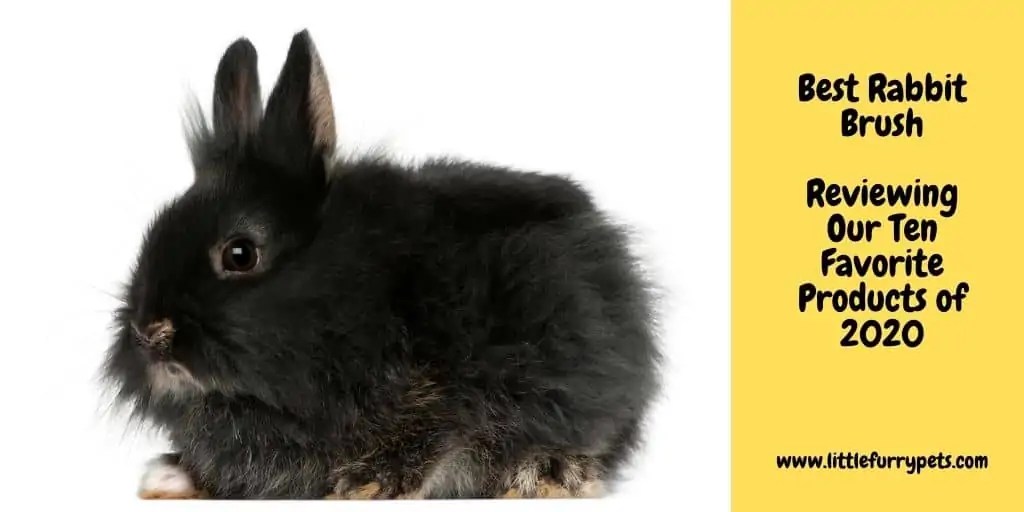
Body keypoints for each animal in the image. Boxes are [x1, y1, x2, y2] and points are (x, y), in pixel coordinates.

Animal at [101, 29, 662, 500]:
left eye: (240, 254)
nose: (150, 334)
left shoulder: (444, 390)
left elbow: (432, 434)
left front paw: (367, 485)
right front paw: (169, 475)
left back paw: (548, 472)